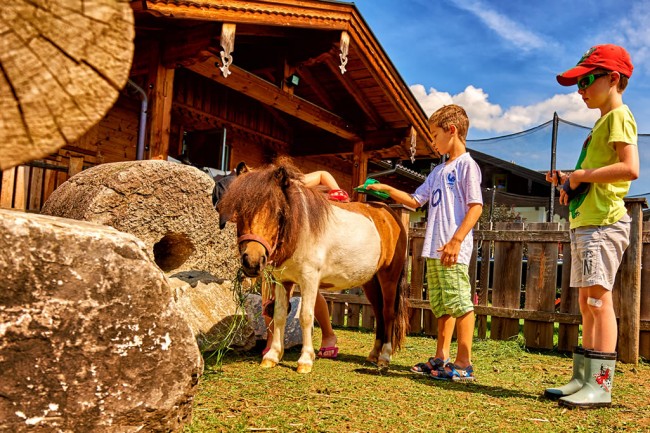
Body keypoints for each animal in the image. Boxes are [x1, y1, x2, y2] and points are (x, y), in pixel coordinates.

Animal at [220, 157, 408, 372]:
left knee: (388, 312)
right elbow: (279, 314)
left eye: (277, 212)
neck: (300, 230)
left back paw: (384, 356)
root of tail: (391, 216)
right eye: (239, 209)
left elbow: (306, 316)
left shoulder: (309, 279)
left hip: (388, 277)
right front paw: (272, 356)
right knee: (378, 311)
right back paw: (374, 354)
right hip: (370, 280)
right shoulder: (282, 281)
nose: (252, 261)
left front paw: (305, 360)